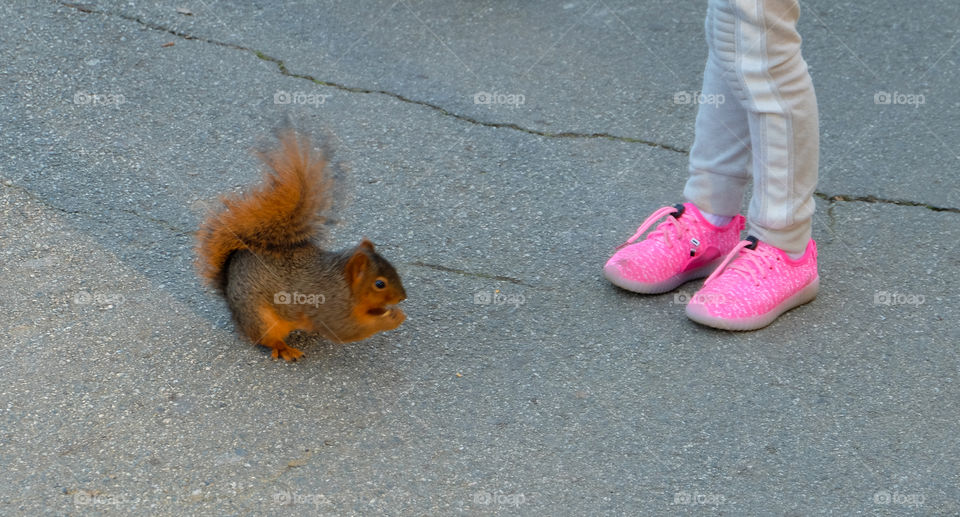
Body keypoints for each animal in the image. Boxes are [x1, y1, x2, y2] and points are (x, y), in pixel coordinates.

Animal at [195, 130, 404, 358]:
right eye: (379, 284)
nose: (402, 298)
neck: (344, 283)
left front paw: (389, 312)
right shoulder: (330, 307)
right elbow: (347, 331)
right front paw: (393, 318)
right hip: (259, 317)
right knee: (268, 339)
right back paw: (285, 349)